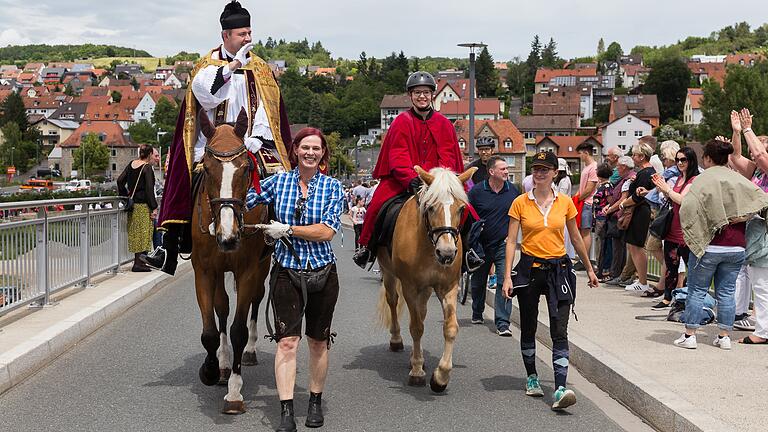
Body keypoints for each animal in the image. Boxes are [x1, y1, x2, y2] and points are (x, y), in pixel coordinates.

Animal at [192, 106, 272, 414]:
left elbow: (238, 328)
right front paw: (212, 369)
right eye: (207, 169)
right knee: (222, 307)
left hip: (262, 267)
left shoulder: (248, 270)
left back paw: (247, 352)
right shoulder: (204, 271)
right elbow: (210, 331)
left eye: (246, 168)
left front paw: (235, 392)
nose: (228, 237)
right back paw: (224, 363)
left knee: (256, 301)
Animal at [376, 165, 476, 392]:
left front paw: (441, 377)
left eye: (461, 209)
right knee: (393, 301)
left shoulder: (448, 287)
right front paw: (417, 371)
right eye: (430, 208)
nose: (447, 253)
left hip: (426, 289)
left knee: (421, 312)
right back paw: (397, 340)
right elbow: (416, 327)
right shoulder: (410, 287)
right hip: (389, 273)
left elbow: (450, 327)